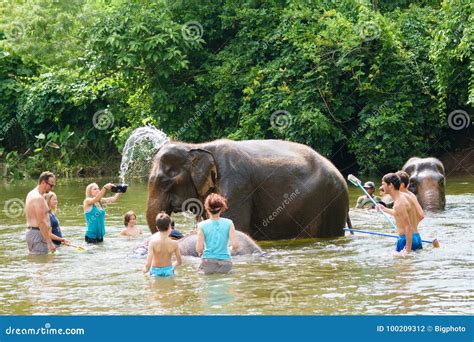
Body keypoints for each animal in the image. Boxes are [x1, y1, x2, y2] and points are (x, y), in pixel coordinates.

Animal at [144, 138, 348, 239]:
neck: (196, 146)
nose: (170, 223)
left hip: (332, 203)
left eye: (165, 182)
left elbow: (235, 226)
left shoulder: (237, 184)